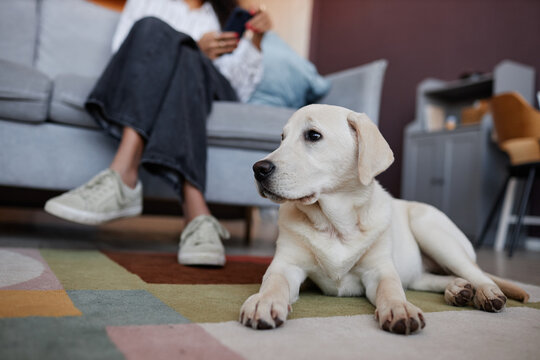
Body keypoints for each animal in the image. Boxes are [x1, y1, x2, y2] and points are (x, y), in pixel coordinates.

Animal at [239, 104, 528, 334]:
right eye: (282, 138)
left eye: (313, 135)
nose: (258, 169)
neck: (335, 223)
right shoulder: (286, 265)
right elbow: (273, 282)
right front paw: (264, 301)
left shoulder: (381, 270)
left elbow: (391, 289)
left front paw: (400, 309)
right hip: (419, 270)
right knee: (433, 277)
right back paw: (458, 289)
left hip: (431, 230)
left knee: (477, 273)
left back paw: (486, 292)